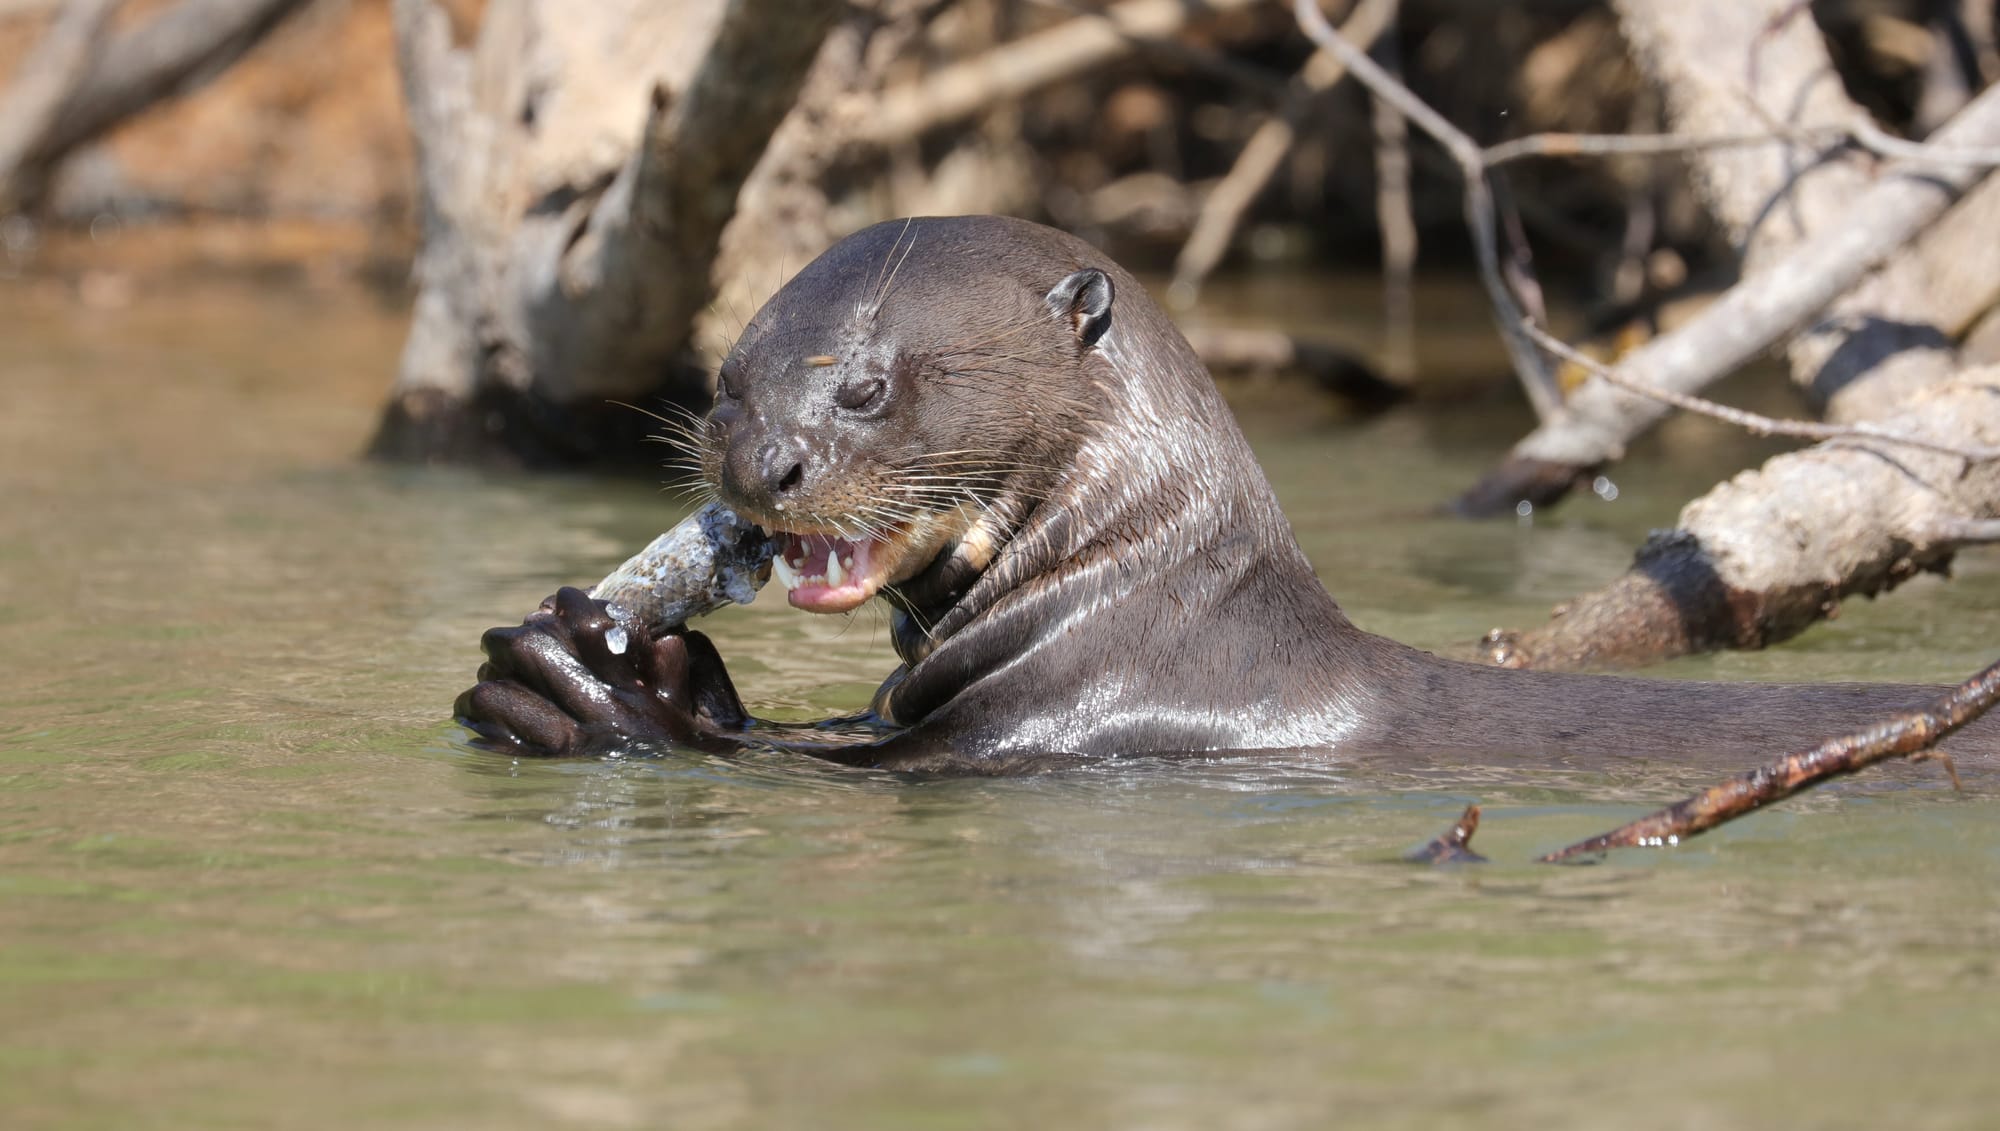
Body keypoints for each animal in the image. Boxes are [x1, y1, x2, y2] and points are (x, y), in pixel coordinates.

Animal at [457, 215, 1999, 773]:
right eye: (725, 383)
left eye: (865, 388)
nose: (760, 465)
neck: (1133, 602)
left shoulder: (1065, 727)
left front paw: (587, 691)